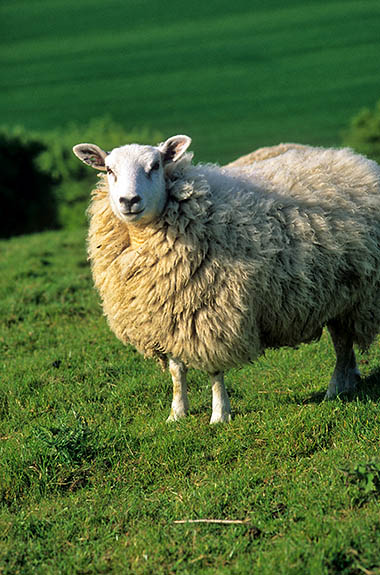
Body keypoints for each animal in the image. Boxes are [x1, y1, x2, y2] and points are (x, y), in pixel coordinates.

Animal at [72, 135, 380, 424]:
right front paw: (177, 413)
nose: (128, 201)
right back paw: (349, 381)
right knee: (344, 341)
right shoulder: (167, 316)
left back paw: (335, 389)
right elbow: (176, 370)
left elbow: (214, 371)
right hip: (340, 293)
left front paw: (219, 415)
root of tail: (352, 157)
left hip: (358, 294)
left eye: (155, 166)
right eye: (109, 170)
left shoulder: (210, 313)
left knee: (342, 344)